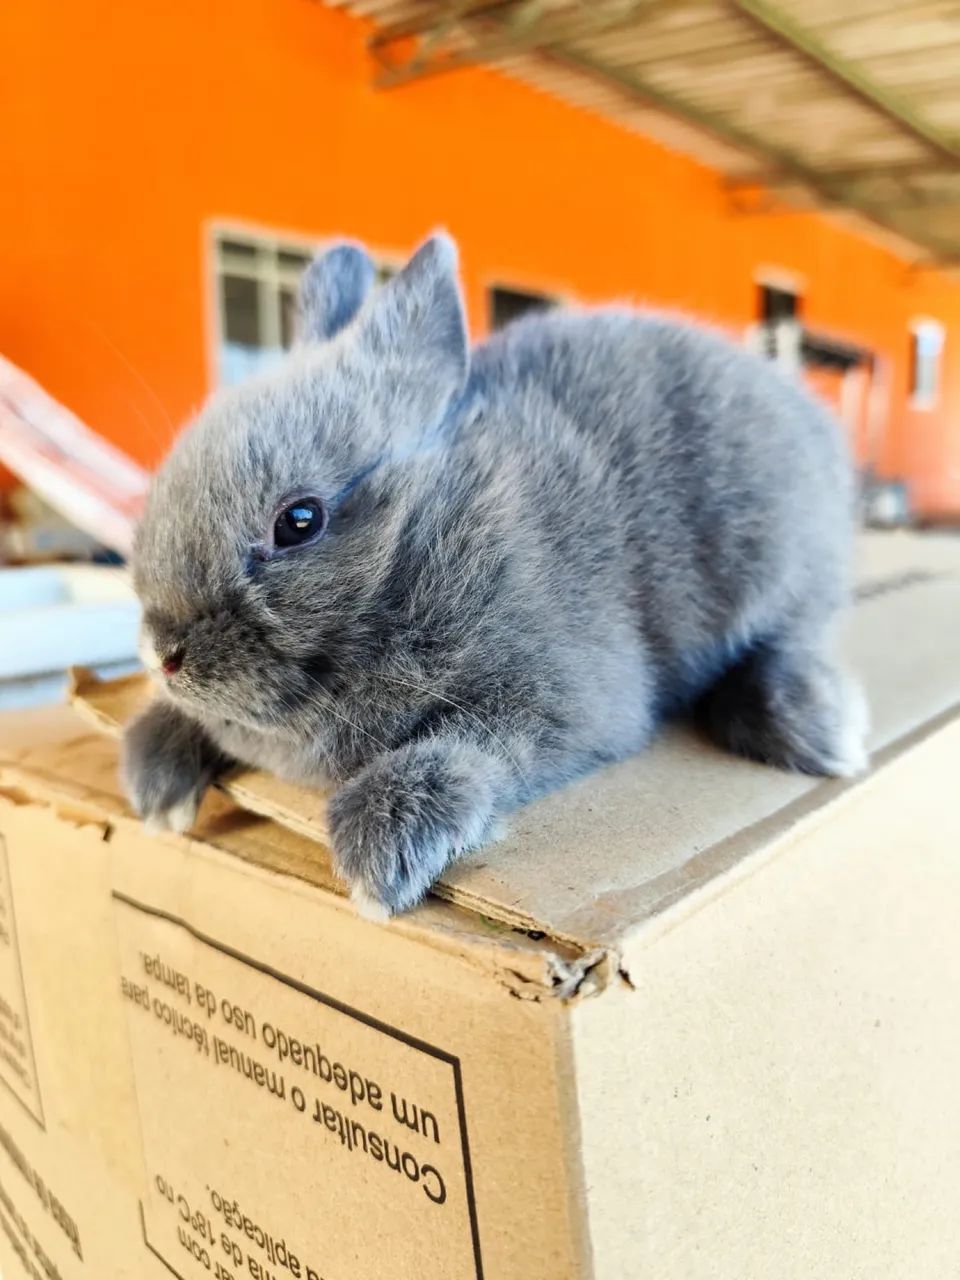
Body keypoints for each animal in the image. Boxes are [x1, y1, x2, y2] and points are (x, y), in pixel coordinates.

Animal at [122, 231, 867, 918]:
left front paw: (376, 867)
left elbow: (471, 748)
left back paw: (826, 734)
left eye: (299, 521)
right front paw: (157, 794)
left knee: (788, 636)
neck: (421, 540)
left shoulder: (563, 703)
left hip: (777, 562)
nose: (164, 656)